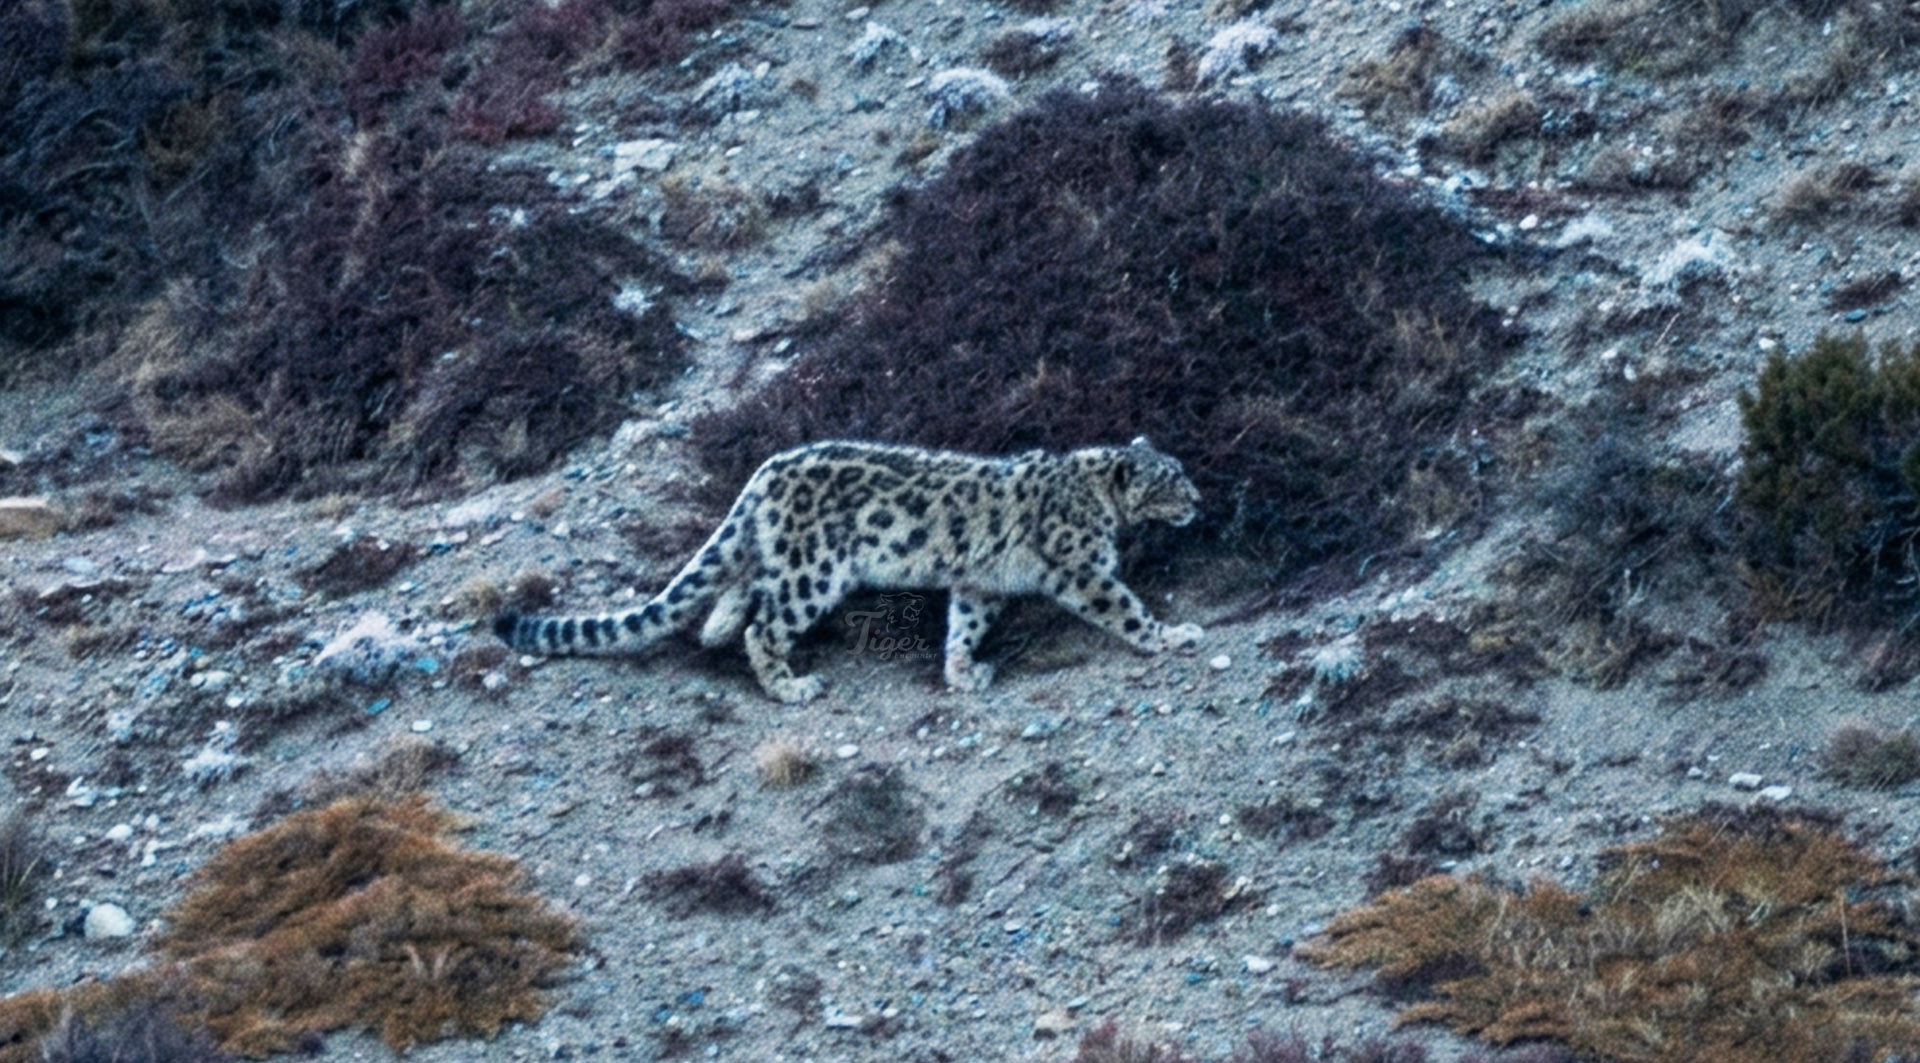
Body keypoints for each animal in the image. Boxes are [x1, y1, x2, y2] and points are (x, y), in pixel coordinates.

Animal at [492, 437, 1205, 703]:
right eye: (1171, 479)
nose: (1199, 500)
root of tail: (764, 472)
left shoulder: (977, 583)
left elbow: (964, 624)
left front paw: (962, 672)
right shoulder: (1084, 569)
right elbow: (1125, 607)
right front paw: (1173, 635)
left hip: (778, 555)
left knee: (738, 582)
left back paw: (716, 626)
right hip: (815, 570)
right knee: (765, 625)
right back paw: (789, 685)